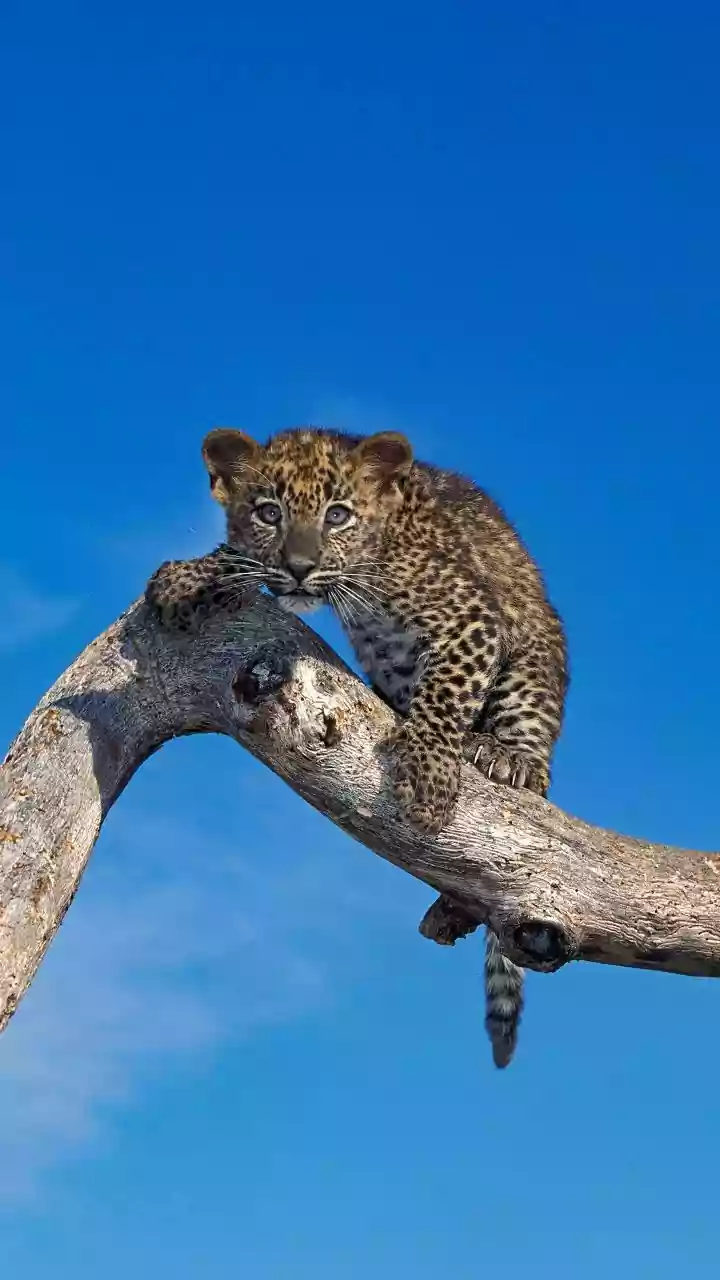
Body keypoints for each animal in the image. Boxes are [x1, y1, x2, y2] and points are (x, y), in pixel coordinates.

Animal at [147, 426, 568, 1068]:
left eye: (338, 515)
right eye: (269, 513)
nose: (300, 567)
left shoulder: (471, 621)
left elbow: (444, 694)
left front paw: (426, 780)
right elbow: (237, 557)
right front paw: (188, 575)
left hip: (533, 672)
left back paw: (501, 756)